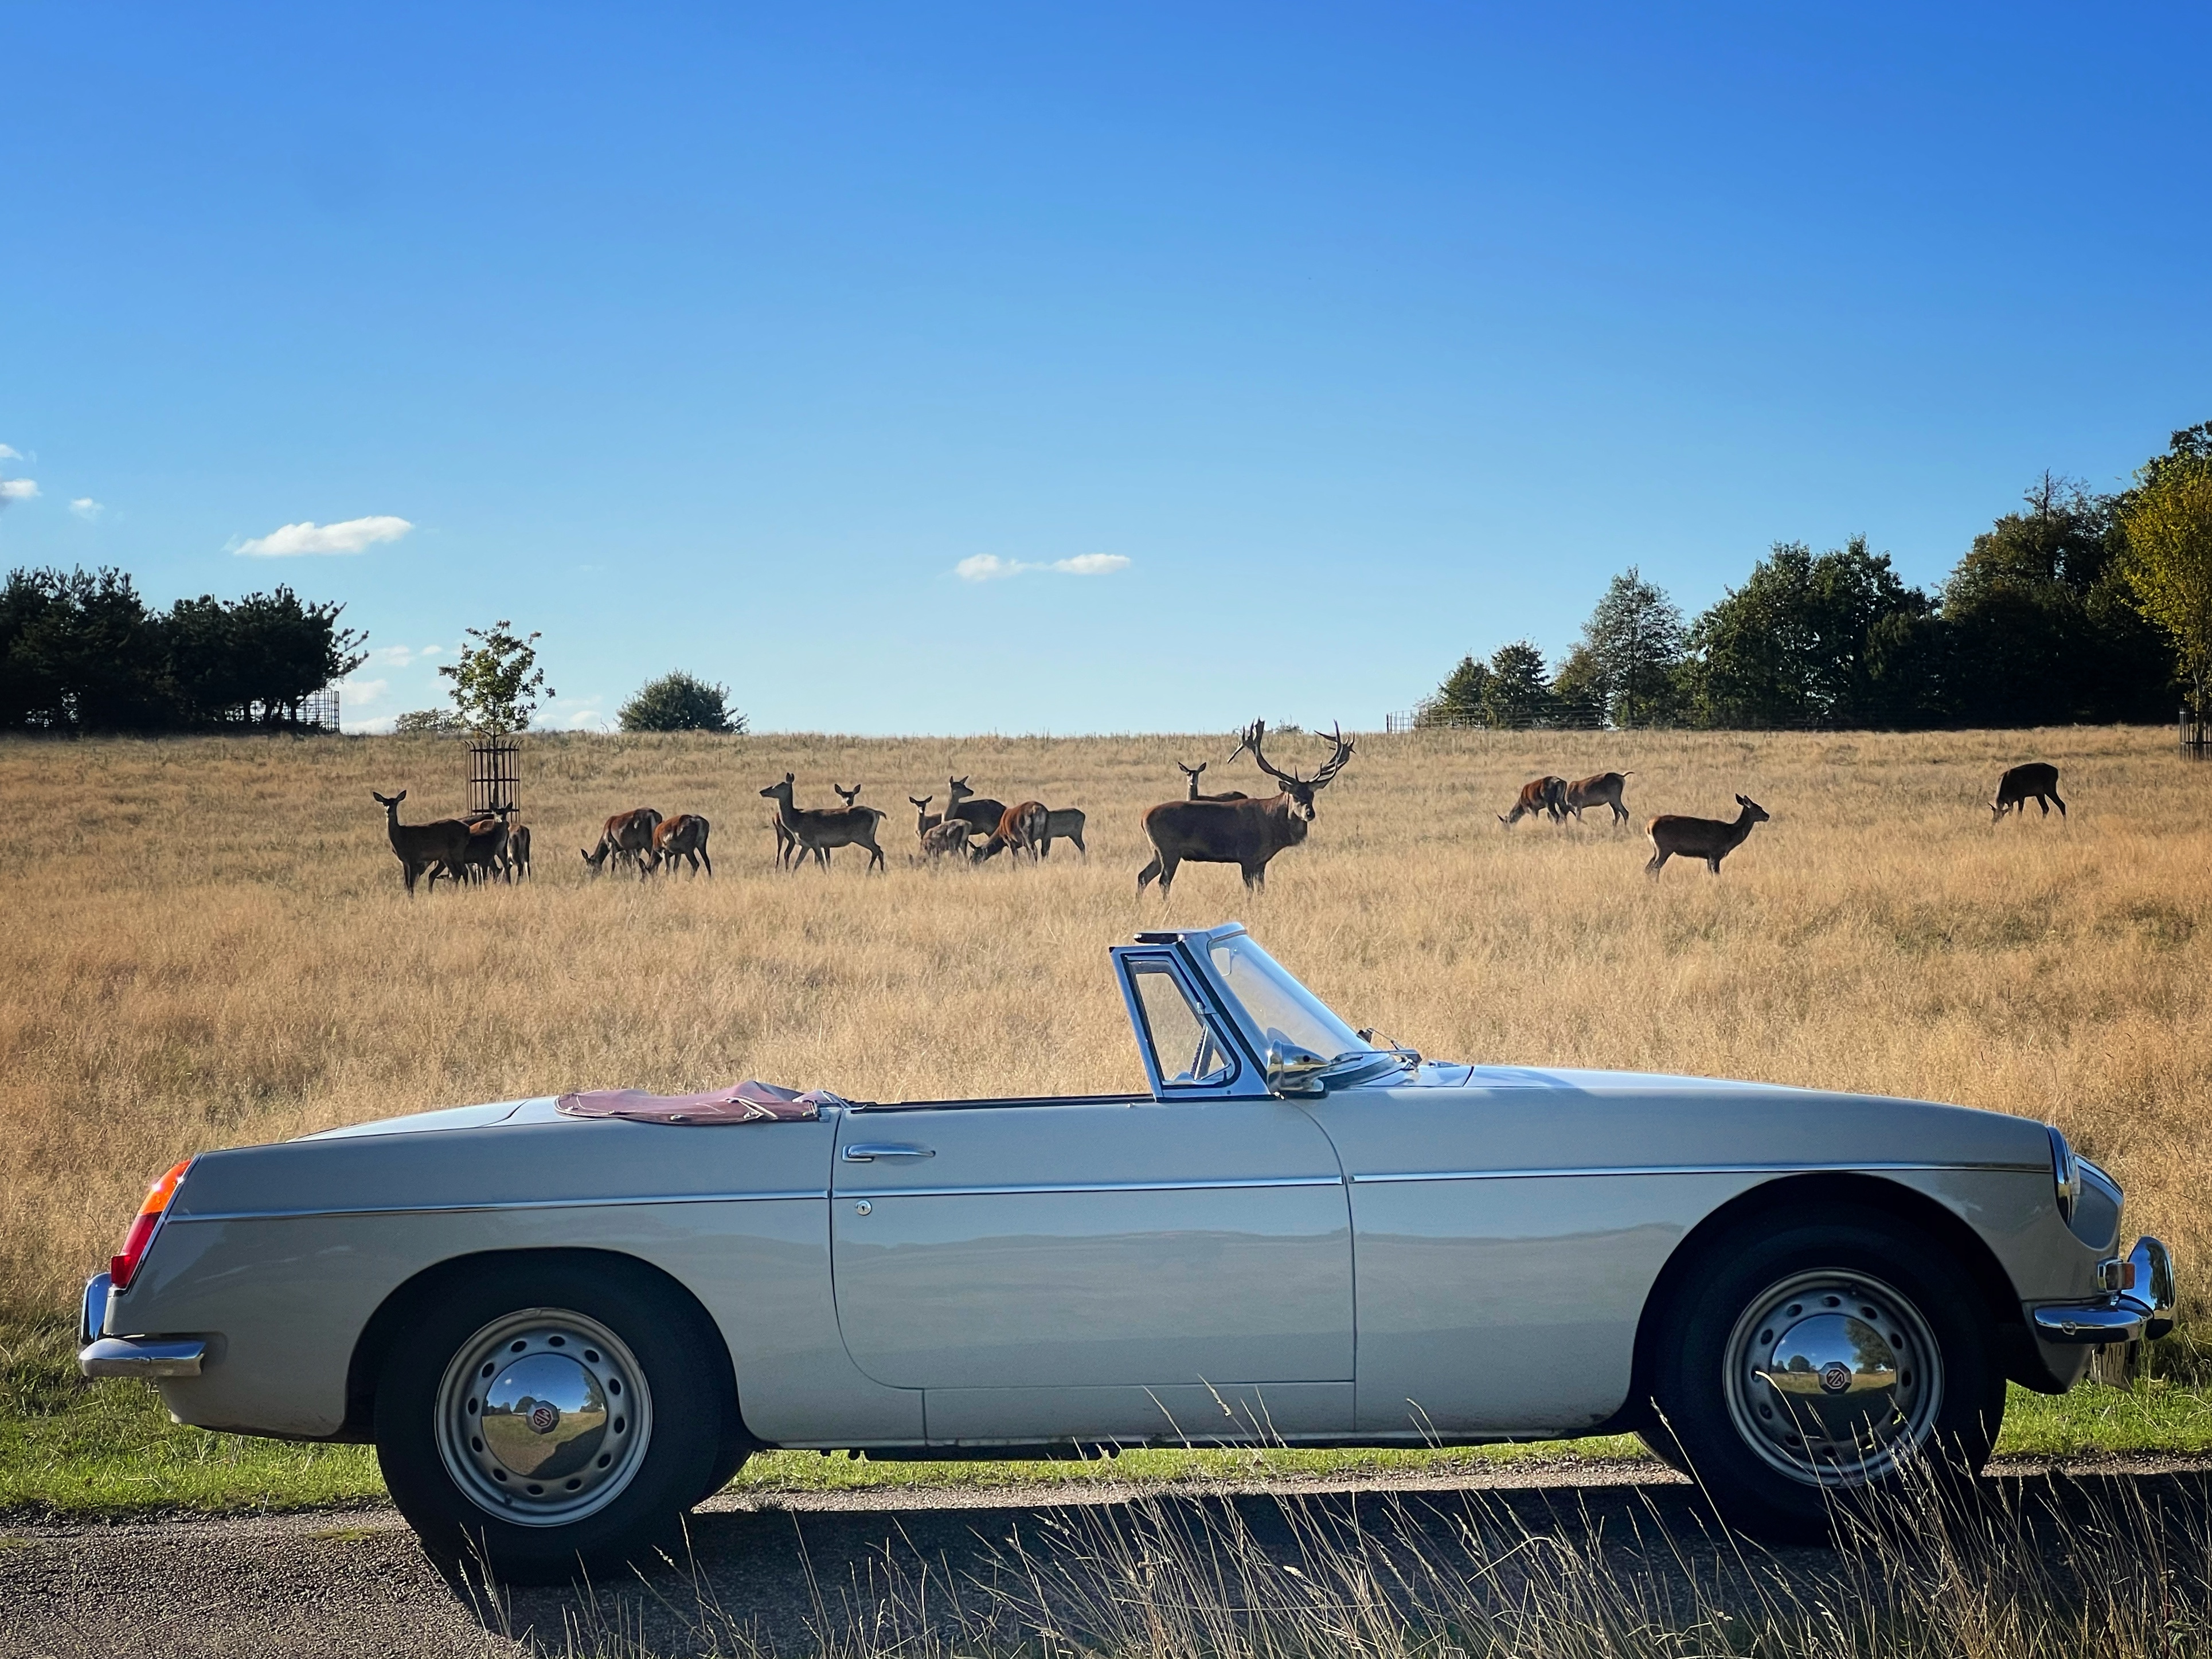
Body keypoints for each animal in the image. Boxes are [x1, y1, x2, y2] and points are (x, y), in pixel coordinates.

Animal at [372, 791, 477, 895]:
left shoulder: (414, 857)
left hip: (457, 850)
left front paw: (412, 898)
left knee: (464, 871)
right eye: (384, 803)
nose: (388, 810)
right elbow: (407, 884)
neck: (401, 838)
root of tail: (467, 829)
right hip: (446, 856)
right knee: (456, 873)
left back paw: (464, 891)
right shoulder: (404, 862)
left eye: (395, 803)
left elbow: (411, 883)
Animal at [582, 808, 662, 879]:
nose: (591, 879)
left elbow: (614, 863)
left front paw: (611, 877)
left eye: (588, 869)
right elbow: (631, 861)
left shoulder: (612, 845)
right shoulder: (631, 848)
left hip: (647, 843)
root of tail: (654, 814)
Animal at [761, 774, 886, 873]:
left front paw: (826, 875)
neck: (796, 821)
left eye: (778, 786)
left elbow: (822, 862)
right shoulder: (806, 845)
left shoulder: (815, 841)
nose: (762, 791)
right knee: (879, 850)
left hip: (862, 836)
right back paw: (880, 872)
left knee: (877, 849)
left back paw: (870, 872)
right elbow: (797, 864)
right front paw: (791, 877)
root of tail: (876, 813)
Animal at [1137, 720, 1353, 897]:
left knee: (1143, 876)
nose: (1310, 813)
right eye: (1295, 796)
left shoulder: (1261, 862)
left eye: (1312, 796)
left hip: (1157, 850)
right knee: (1163, 882)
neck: (1272, 828)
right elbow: (1249, 892)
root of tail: (1143, 816)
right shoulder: (1247, 856)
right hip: (1169, 849)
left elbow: (1262, 891)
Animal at [1646, 795, 1770, 878]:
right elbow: (1717, 874)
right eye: (1759, 808)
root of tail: (1649, 826)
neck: (1730, 834)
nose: (1768, 816)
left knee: (1648, 868)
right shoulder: (1715, 854)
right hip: (1664, 848)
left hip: (1656, 849)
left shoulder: (1708, 857)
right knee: (1655, 868)